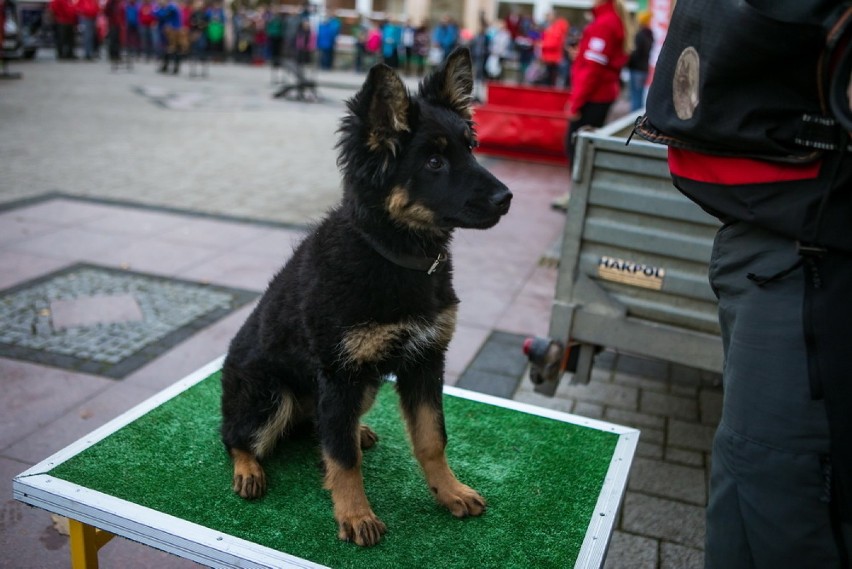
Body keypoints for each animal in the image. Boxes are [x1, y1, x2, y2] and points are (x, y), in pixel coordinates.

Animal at [221, 48, 512, 544]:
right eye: (434, 162)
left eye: (470, 147)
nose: (506, 198)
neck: (396, 255)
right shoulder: (340, 374)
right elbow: (342, 459)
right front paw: (355, 515)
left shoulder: (424, 361)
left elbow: (432, 438)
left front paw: (449, 491)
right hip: (271, 396)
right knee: (236, 436)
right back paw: (248, 468)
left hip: (367, 385)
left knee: (323, 427)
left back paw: (356, 431)